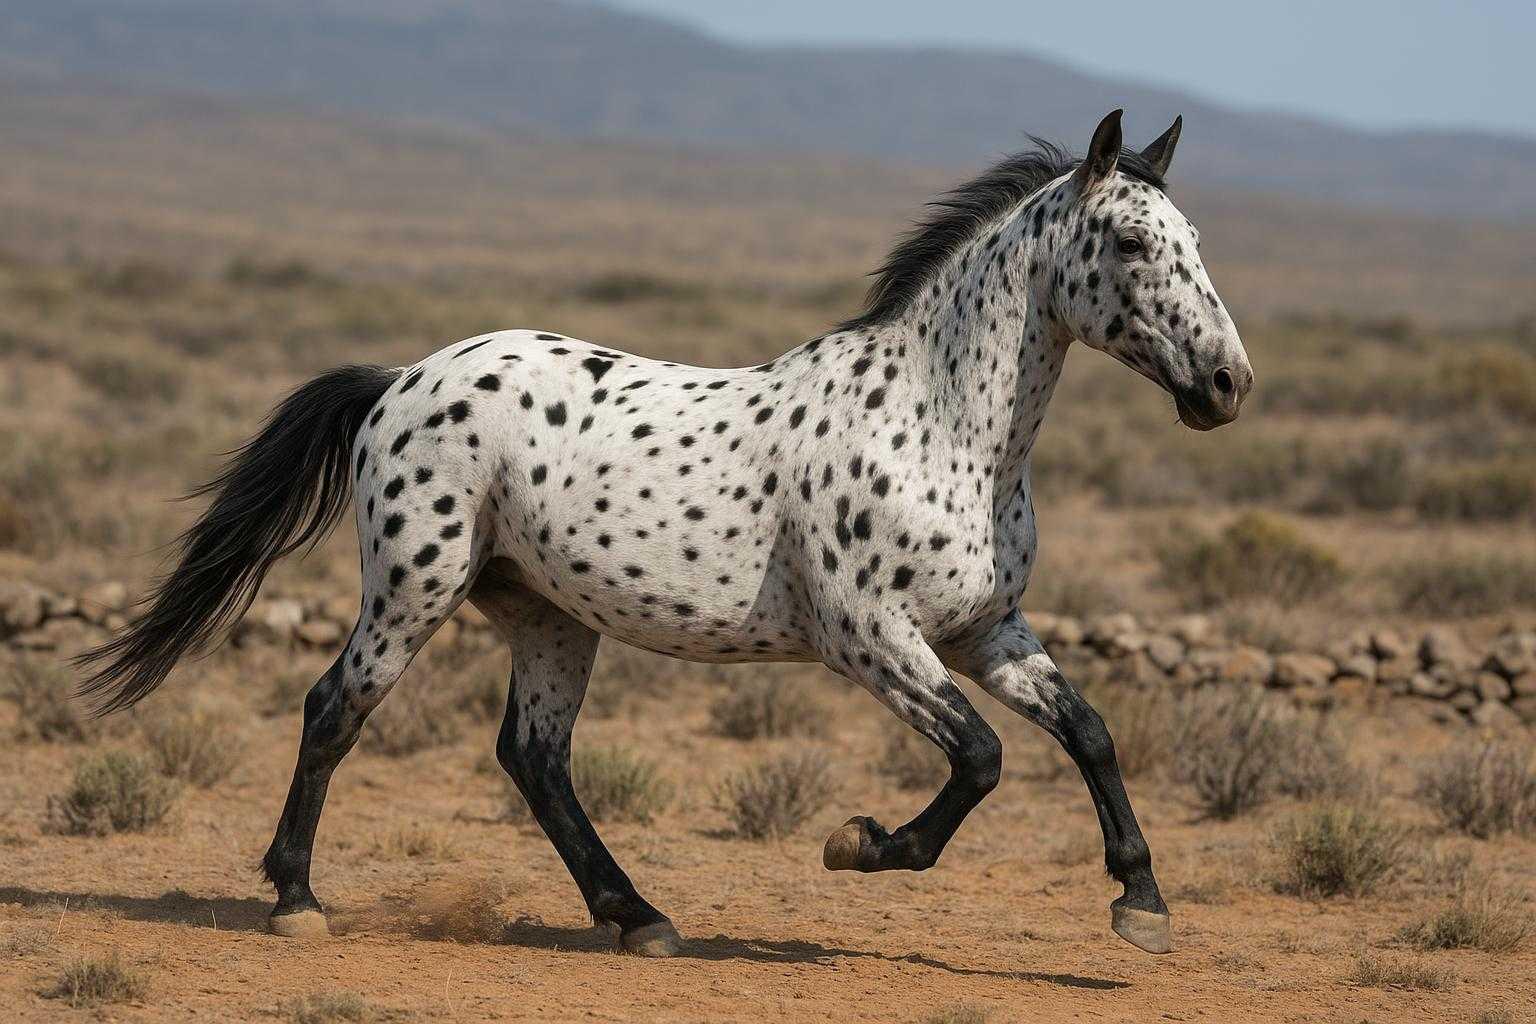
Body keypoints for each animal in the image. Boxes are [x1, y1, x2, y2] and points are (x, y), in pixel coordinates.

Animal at [79, 109, 1252, 959]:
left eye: (1196, 242)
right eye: (1129, 241)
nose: (1227, 384)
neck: (942, 427)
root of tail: (398, 380)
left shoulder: (984, 632)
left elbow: (1088, 731)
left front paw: (1142, 904)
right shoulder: (868, 637)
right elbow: (983, 756)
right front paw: (862, 846)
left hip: (548, 616)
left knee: (534, 756)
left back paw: (637, 917)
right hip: (415, 584)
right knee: (336, 709)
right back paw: (296, 900)